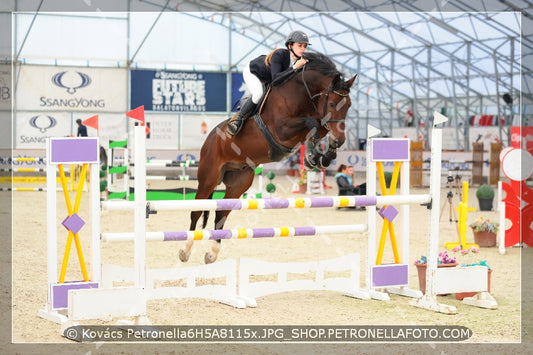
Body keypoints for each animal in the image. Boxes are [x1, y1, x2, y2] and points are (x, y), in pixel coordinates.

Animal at [180, 52, 358, 264]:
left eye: (348, 106)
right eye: (331, 104)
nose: (341, 140)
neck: (302, 94)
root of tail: (210, 139)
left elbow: (320, 126)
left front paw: (321, 157)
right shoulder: (282, 129)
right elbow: (313, 122)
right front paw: (315, 156)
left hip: (239, 181)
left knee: (221, 213)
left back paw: (212, 253)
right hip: (208, 178)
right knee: (196, 211)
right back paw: (185, 251)